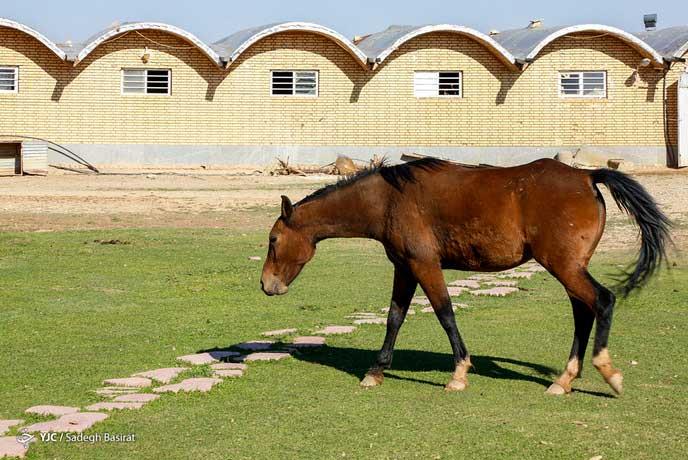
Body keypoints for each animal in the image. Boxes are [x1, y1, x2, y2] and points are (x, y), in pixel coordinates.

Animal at [258, 159, 668, 396]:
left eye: (273, 240)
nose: (266, 284)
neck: (388, 199)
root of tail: (586, 175)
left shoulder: (425, 266)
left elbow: (445, 314)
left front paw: (459, 372)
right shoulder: (405, 268)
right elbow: (394, 318)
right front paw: (376, 371)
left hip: (564, 267)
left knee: (602, 301)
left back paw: (607, 372)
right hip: (569, 268)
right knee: (583, 313)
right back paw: (564, 379)